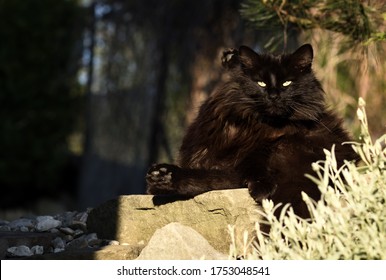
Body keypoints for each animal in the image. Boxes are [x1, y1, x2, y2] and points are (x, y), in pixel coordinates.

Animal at [146, 44, 358, 219]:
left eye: (287, 83)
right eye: (261, 83)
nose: (273, 96)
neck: (257, 127)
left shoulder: (256, 155)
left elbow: (244, 168)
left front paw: (261, 188)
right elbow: (207, 176)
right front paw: (161, 179)